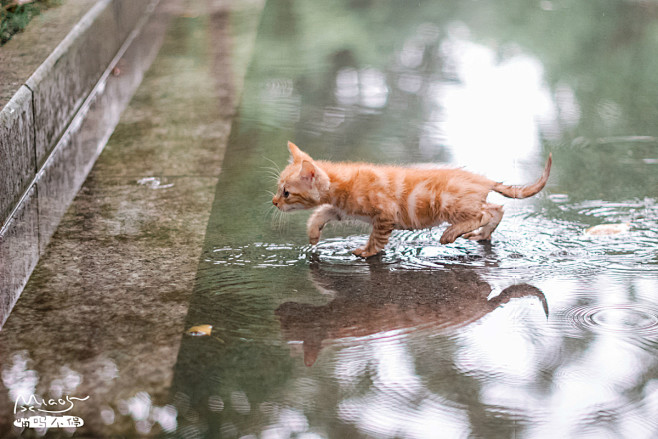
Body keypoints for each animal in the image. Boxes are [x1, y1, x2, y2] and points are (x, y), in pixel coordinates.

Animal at [272, 143, 548, 258]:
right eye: (278, 189)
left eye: (286, 192)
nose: (274, 202)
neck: (343, 183)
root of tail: (483, 180)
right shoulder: (344, 210)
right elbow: (321, 212)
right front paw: (313, 234)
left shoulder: (385, 213)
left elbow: (377, 238)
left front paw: (367, 252)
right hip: (469, 203)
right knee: (495, 208)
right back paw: (483, 234)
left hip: (451, 205)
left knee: (482, 214)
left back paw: (451, 234)